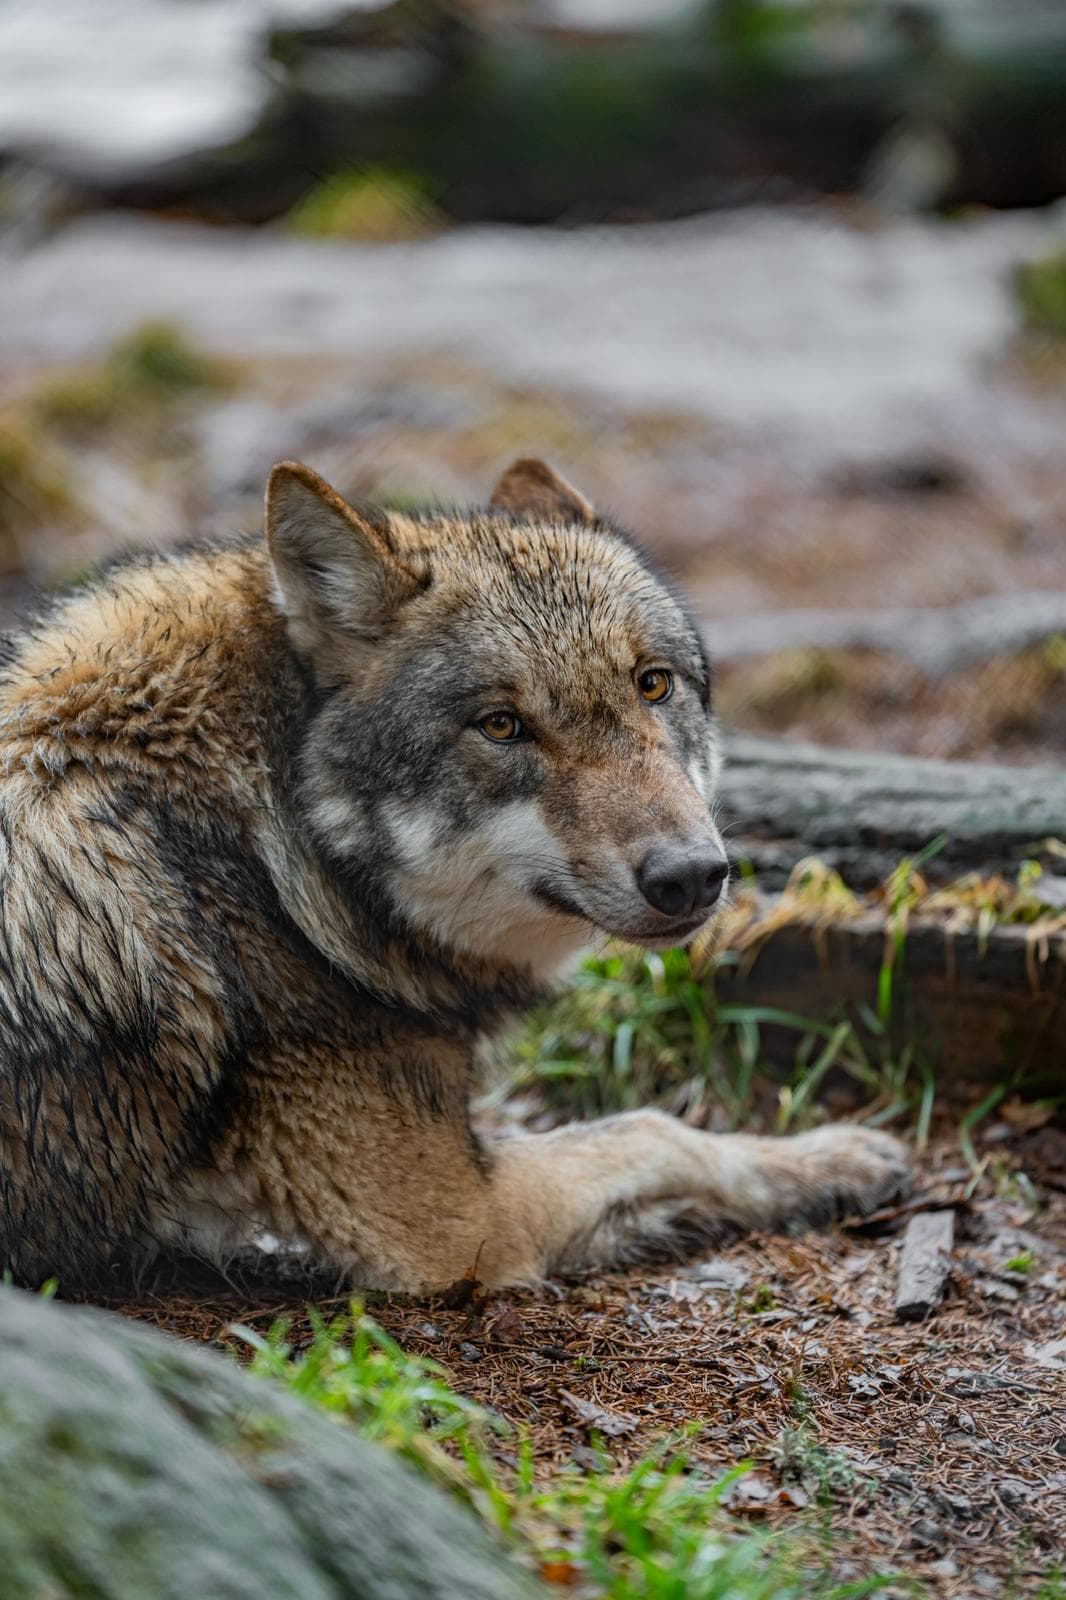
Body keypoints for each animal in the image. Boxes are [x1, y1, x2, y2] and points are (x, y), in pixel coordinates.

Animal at [0, 456, 907, 1291]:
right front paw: (833, 1161)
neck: (266, 849)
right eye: (501, 726)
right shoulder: (453, 1223)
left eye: (653, 684)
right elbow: (655, 1131)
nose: (691, 876)